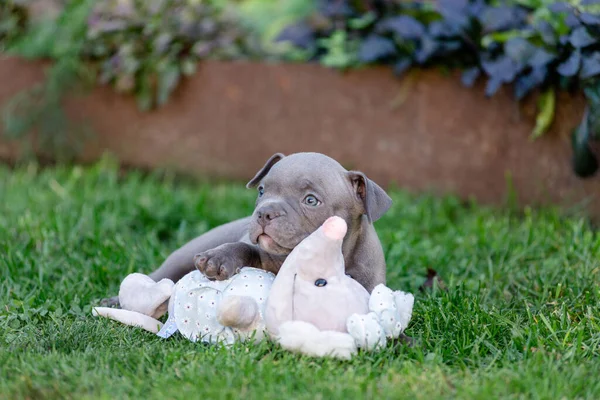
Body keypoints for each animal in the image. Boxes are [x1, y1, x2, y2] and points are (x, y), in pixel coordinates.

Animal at [103, 152, 394, 304]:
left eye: (311, 200)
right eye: (262, 191)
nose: (264, 212)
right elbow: (245, 248)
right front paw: (217, 259)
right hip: (179, 259)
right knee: (156, 278)